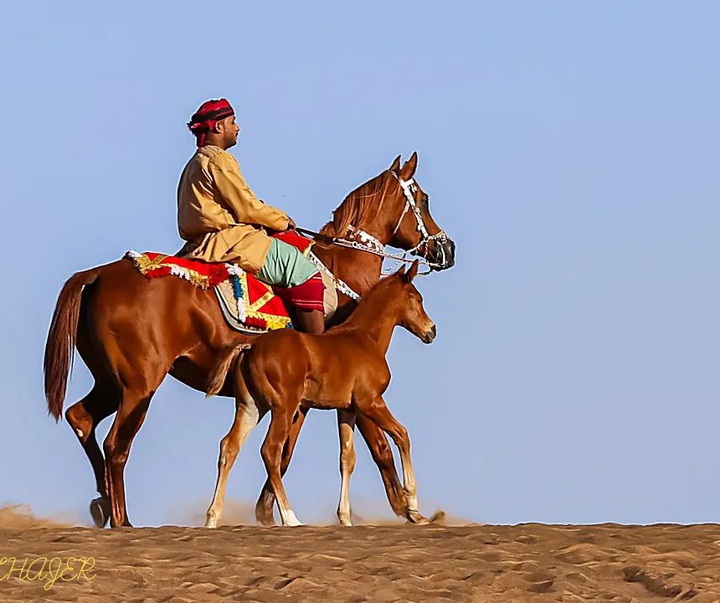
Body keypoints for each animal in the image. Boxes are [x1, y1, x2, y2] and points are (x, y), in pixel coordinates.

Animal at [205, 262, 436, 528]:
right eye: (417, 298)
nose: (432, 330)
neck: (365, 336)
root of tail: (251, 346)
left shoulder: (347, 409)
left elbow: (347, 458)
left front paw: (345, 517)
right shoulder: (370, 402)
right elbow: (402, 435)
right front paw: (413, 507)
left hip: (251, 407)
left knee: (229, 446)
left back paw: (212, 517)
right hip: (285, 408)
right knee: (270, 451)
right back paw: (290, 518)